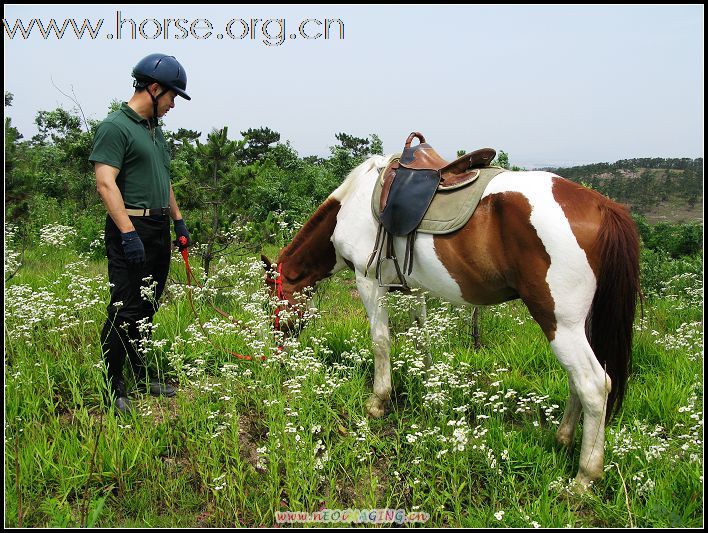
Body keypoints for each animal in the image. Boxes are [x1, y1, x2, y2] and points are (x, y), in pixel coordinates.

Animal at [264, 153, 640, 486]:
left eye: (272, 298)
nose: (278, 349)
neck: (352, 204)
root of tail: (602, 206)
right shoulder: (413, 287)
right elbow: (421, 336)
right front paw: (430, 384)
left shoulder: (367, 281)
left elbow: (381, 342)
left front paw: (378, 402)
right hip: (579, 326)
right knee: (580, 380)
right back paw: (563, 438)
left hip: (560, 322)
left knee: (594, 385)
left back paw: (584, 477)